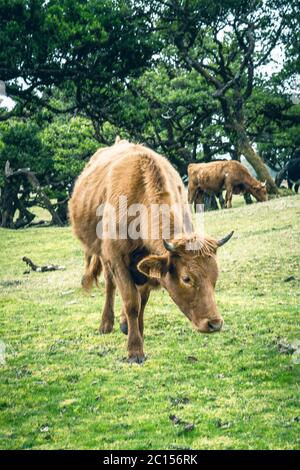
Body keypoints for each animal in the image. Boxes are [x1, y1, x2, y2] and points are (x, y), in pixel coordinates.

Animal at [69, 140, 233, 364]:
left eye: (214, 276)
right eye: (186, 278)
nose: (214, 324)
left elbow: (142, 301)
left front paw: (138, 331)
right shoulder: (116, 258)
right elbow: (131, 301)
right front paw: (135, 351)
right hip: (103, 256)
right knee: (110, 285)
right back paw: (106, 324)